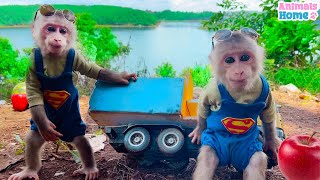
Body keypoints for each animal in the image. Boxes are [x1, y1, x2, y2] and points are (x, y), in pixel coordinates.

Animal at [8, 4, 136, 180]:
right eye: (50, 29)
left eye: (63, 31)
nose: (57, 38)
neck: (54, 56)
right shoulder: (32, 63)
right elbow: (33, 92)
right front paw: (45, 126)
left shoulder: (76, 57)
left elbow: (93, 70)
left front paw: (121, 77)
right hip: (43, 129)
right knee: (33, 139)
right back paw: (30, 170)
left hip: (72, 124)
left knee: (81, 141)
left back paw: (89, 168)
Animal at [189, 28, 282, 180]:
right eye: (229, 60)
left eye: (244, 57)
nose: (239, 71)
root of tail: (230, 158)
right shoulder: (213, 88)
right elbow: (204, 107)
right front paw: (199, 130)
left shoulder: (263, 85)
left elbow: (268, 115)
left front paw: (271, 142)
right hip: (217, 143)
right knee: (208, 158)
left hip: (246, 148)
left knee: (256, 160)